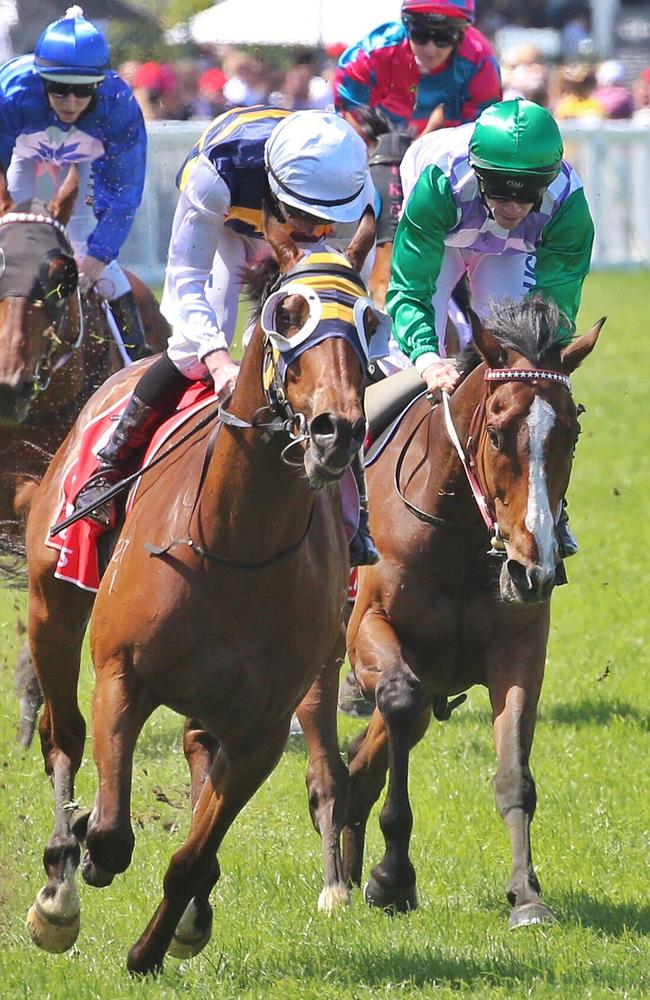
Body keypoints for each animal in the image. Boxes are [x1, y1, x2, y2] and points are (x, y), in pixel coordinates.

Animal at [25, 209, 378, 968]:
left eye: (371, 318)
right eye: (287, 312)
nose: (336, 429)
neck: (236, 546)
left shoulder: (263, 728)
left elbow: (192, 853)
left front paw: (153, 947)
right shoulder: (121, 678)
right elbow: (112, 832)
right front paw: (81, 861)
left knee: (194, 753)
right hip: (51, 604)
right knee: (61, 733)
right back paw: (59, 887)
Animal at [342, 296, 600, 928]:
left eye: (573, 432)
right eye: (499, 433)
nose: (534, 568)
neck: (458, 534)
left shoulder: (519, 652)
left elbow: (514, 773)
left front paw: (527, 895)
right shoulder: (370, 632)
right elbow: (399, 702)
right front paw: (392, 877)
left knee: (367, 755)